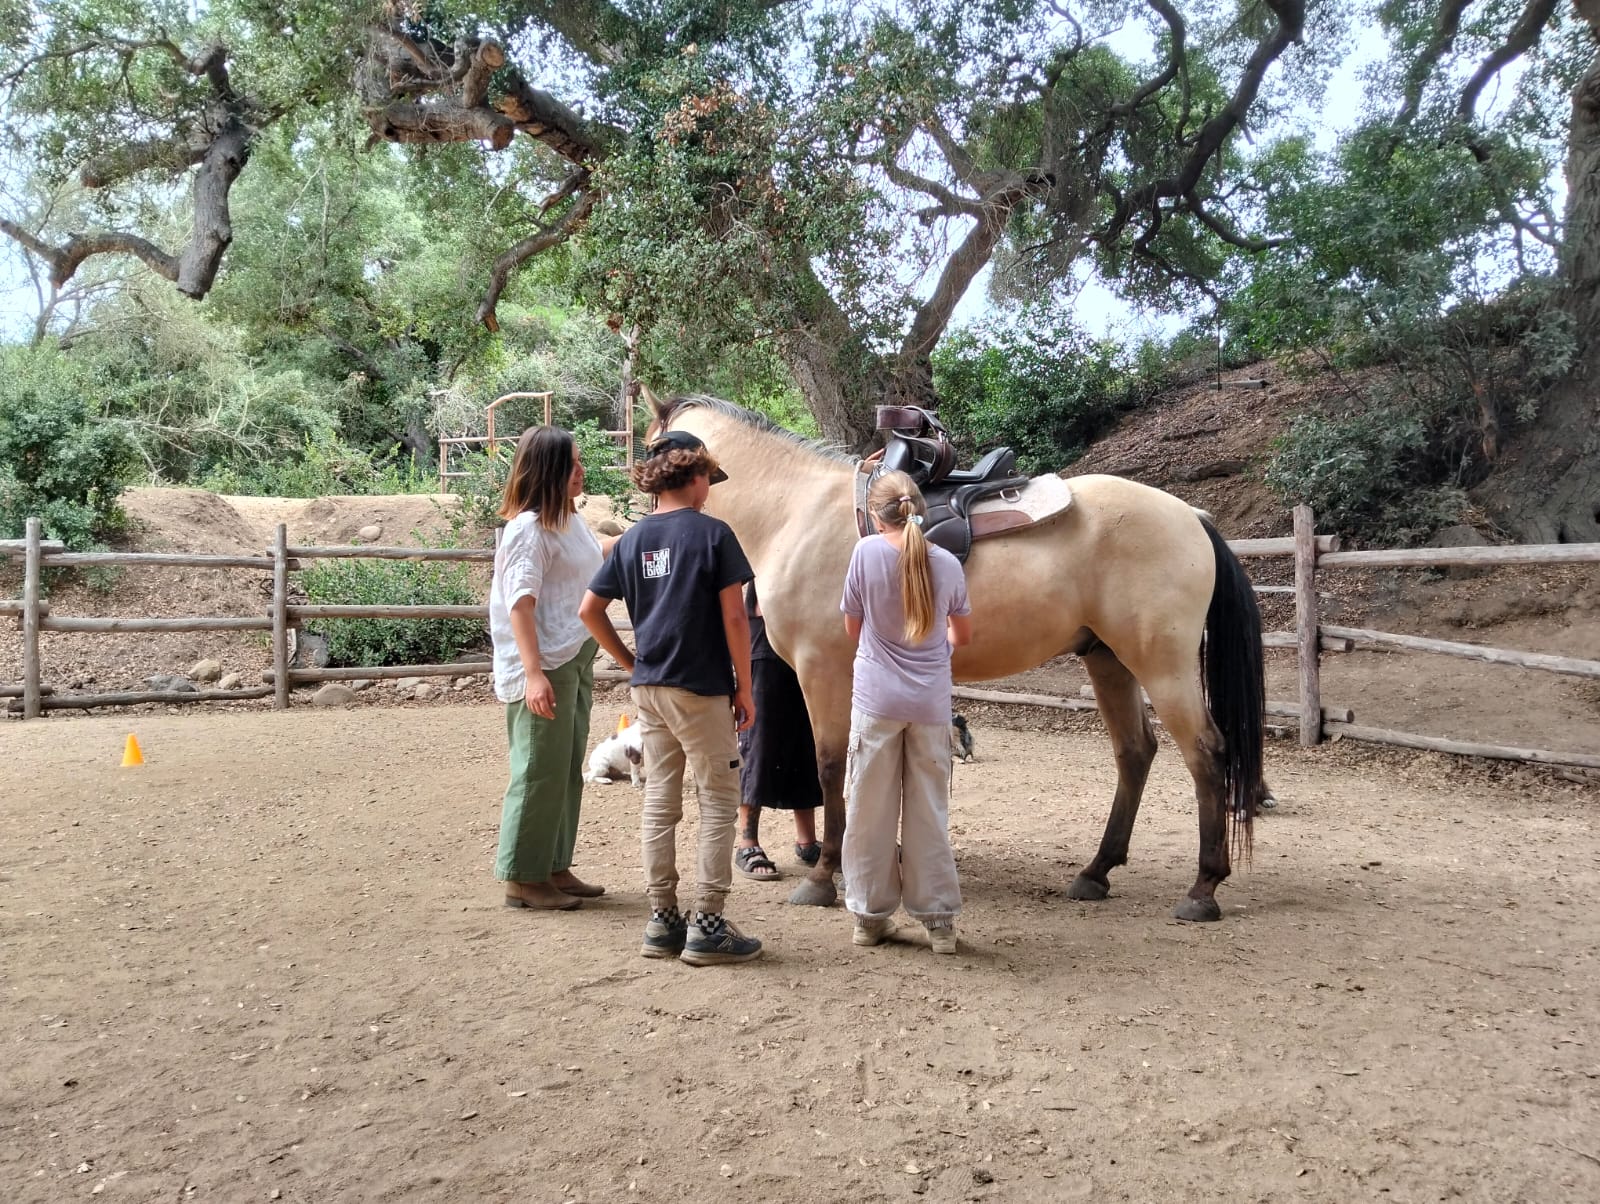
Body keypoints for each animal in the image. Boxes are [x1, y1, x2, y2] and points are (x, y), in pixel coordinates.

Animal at [647, 392, 1266, 922]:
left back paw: (1203, 888)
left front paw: (824, 876)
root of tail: (1190, 516)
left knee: (1207, 753)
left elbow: (829, 766)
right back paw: (1097, 872)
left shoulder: (822, 669)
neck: (794, 512)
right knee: (1135, 752)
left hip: (1161, 665)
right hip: (1108, 660)